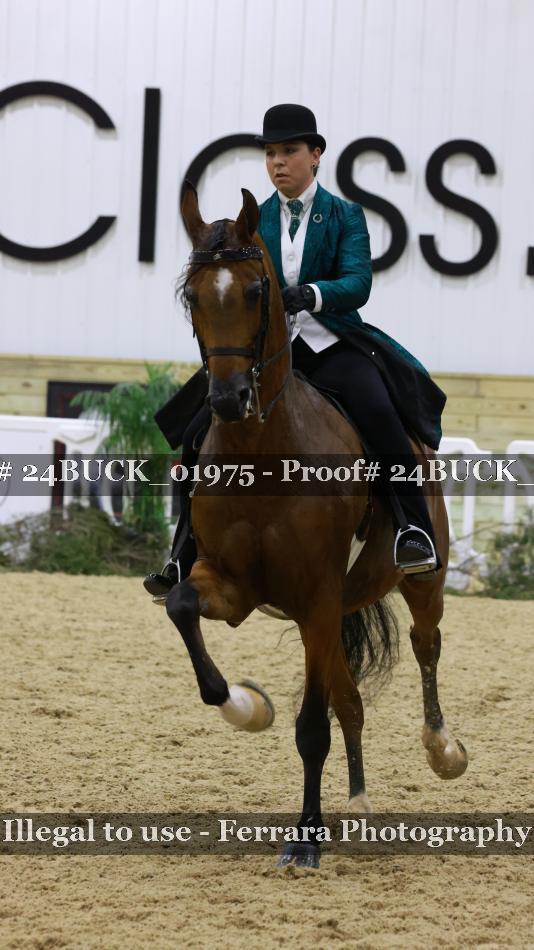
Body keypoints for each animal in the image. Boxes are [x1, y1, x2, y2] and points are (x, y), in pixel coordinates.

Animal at [165, 182, 468, 868]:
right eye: (191, 297)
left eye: (257, 291)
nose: (226, 401)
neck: (263, 449)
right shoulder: (233, 584)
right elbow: (181, 605)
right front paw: (248, 707)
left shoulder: (316, 598)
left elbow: (311, 728)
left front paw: (304, 841)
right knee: (350, 700)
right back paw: (356, 802)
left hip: (417, 579)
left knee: (426, 643)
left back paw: (442, 750)